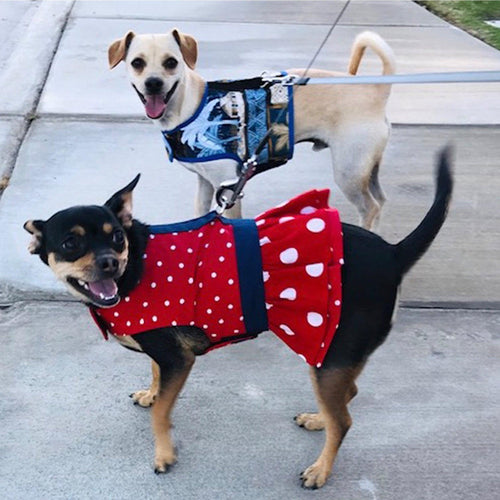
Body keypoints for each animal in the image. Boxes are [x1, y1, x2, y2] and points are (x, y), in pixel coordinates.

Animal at [23, 147, 454, 488]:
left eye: (116, 237)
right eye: (71, 243)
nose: (109, 262)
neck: (136, 269)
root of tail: (393, 254)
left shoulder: (179, 359)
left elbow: (162, 412)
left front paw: (164, 453)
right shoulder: (162, 351)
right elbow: (155, 374)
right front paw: (151, 392)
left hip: (330, 355)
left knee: (345, 420)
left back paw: (320, 470)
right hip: (334, 356)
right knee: (348, 398)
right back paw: (319, 420)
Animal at [108, 29, 394, 229]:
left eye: (171, 62)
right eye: (137, 63)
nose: (153, 83)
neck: (191, 106)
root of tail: (377, 88)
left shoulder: (227, 189)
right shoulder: (205, 184)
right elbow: (200, 214)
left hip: (349, 172)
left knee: (370, 208)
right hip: (367, 169)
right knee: (380, 202)